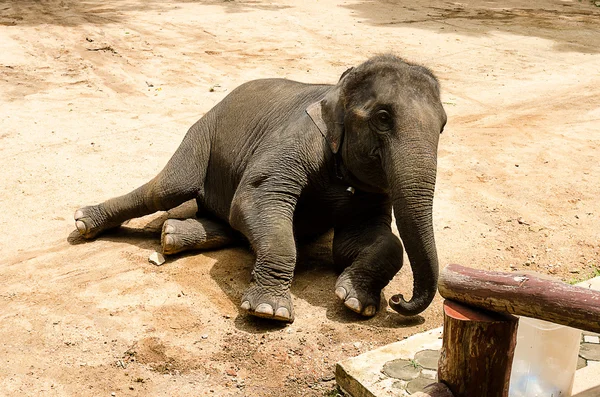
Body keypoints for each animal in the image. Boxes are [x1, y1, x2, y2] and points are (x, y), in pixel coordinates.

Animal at [74, 55, 446, 322]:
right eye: (383, 118)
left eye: (442, 126)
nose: (399, 301)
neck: (336, 89)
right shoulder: (295, 139)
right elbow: (256, 198)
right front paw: (269, 312)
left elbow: (370, 242)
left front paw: (356, 303)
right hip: (202, 131)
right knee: (168, 188)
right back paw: (84, 221)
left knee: (229, 221)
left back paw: (171, 235)